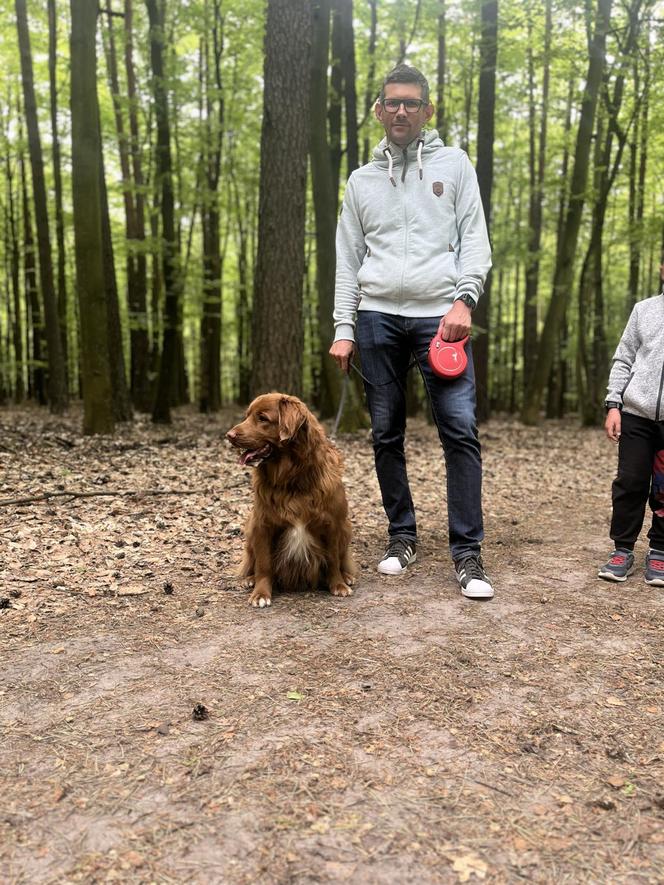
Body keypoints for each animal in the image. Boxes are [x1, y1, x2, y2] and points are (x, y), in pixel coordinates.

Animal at [226, 394, 356, 608]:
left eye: (262, 418)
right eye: (247, 416)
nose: (229, 435)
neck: (293, 479)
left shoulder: (333, 524)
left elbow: (333, 560)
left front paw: (337, 584)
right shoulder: (262, 525)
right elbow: (263, 564)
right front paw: (261, 593)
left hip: (346, 529)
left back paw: (346, 576)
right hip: (250, 528)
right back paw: (249, 579)